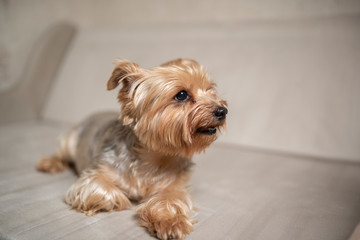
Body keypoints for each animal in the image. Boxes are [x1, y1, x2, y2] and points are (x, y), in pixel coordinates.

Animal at [37, 58, 228, 240]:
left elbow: (170, 200)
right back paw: (50, 163)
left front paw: (170, 221)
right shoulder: (93, 176)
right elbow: (104, 191)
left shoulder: (175, 187)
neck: (153, 156)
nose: (223, 110)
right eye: (181, 95)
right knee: (62, 154)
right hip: (70, 141)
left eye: (211, 90)